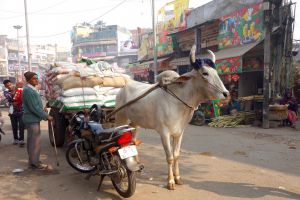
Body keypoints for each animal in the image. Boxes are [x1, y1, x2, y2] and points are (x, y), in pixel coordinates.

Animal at [116, 45, 229, 191]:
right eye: (205, 73)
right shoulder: (164, 133)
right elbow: (169, 157)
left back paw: (136, 162)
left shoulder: (179, 133)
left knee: (133, 140)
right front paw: (170, 181)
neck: (178, 101)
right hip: (119, 118)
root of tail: (125, 85)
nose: (226, 94)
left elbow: (176, 155)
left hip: (135, 123)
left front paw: (178, 178)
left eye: (215, 72)